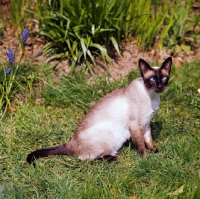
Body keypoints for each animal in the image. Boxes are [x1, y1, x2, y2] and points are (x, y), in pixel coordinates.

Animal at [26, 56, 173, 165]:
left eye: (164, 78)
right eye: (152, 79)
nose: (160, 86)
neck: (152, 97)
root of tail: (71, 142)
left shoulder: (146, 122)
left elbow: (149, 140)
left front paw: (154, 151)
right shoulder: (136, 125)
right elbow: (141, 146)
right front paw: (145, 159)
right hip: (109, 134)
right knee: (85, 158)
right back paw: (113, 159)